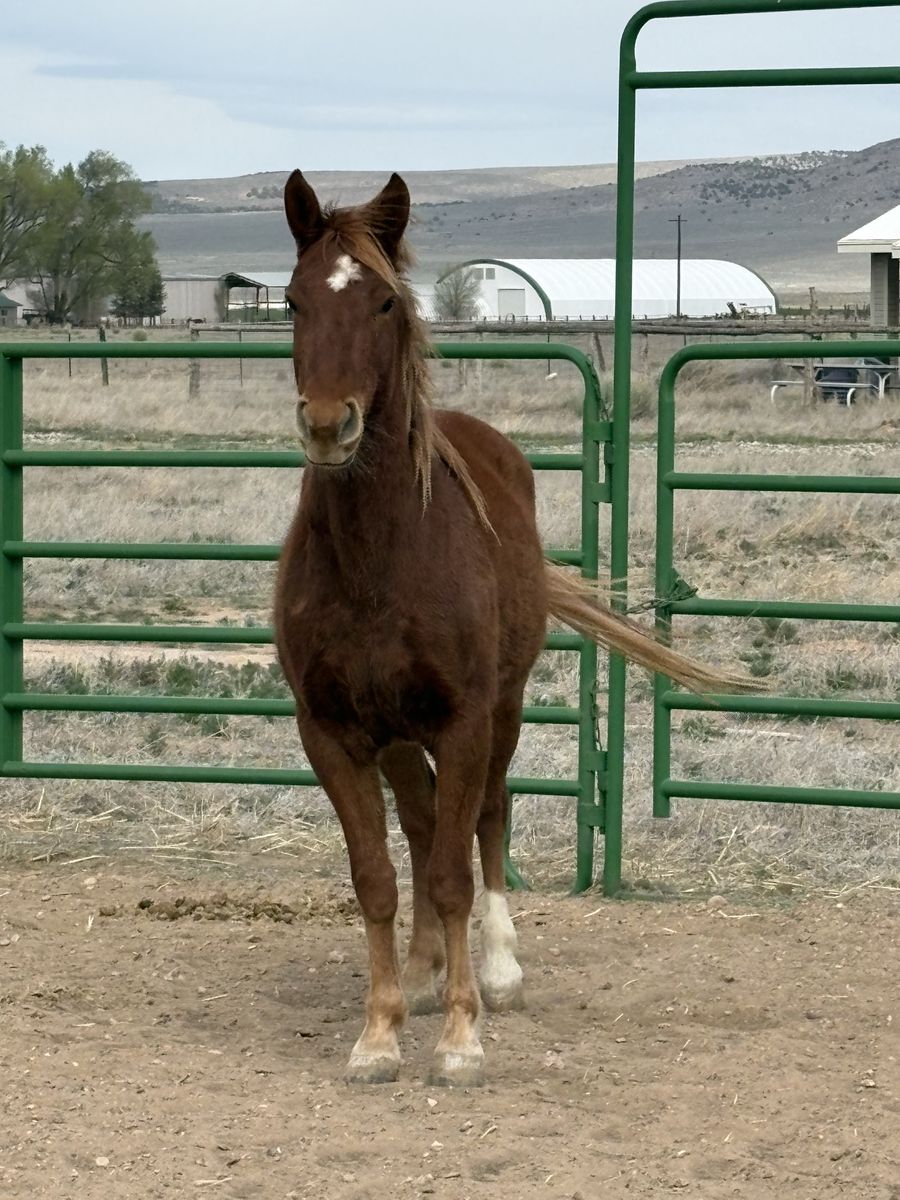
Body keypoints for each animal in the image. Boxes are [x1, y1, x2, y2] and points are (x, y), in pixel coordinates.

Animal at [273, 171, 735, 1087]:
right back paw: (423, 973)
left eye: (383, 301)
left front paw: (462, 1035)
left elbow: (456, 872)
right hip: (399, 734)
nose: (329, 424)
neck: (378, 558)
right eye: (294, 300)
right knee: (423, 829)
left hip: (504, 711)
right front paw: (380, 1032)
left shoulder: (463, 721)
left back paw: (494, 970)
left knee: (485, 818)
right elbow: (378, 875)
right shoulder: (333, 731)